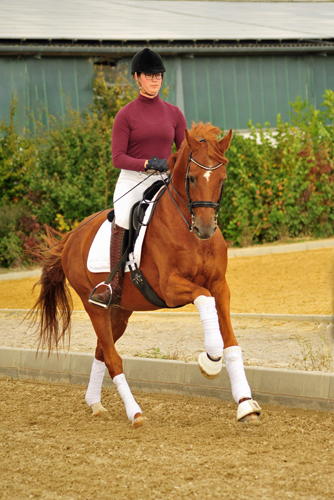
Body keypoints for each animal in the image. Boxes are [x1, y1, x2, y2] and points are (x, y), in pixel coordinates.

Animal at [30, 123, 260, 428]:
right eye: (191, 178)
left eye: (222, 179)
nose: (205, 228)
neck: (188, 229)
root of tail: (72, 237)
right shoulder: (170, 288)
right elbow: (204, 298)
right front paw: (210, 359)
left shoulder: (221, 286)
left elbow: (232, 342)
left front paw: (245, 404)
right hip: (95, 306)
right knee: (113, 358)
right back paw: (135, 413)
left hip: (120, 311)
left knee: (101, 351)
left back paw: (95, 404)